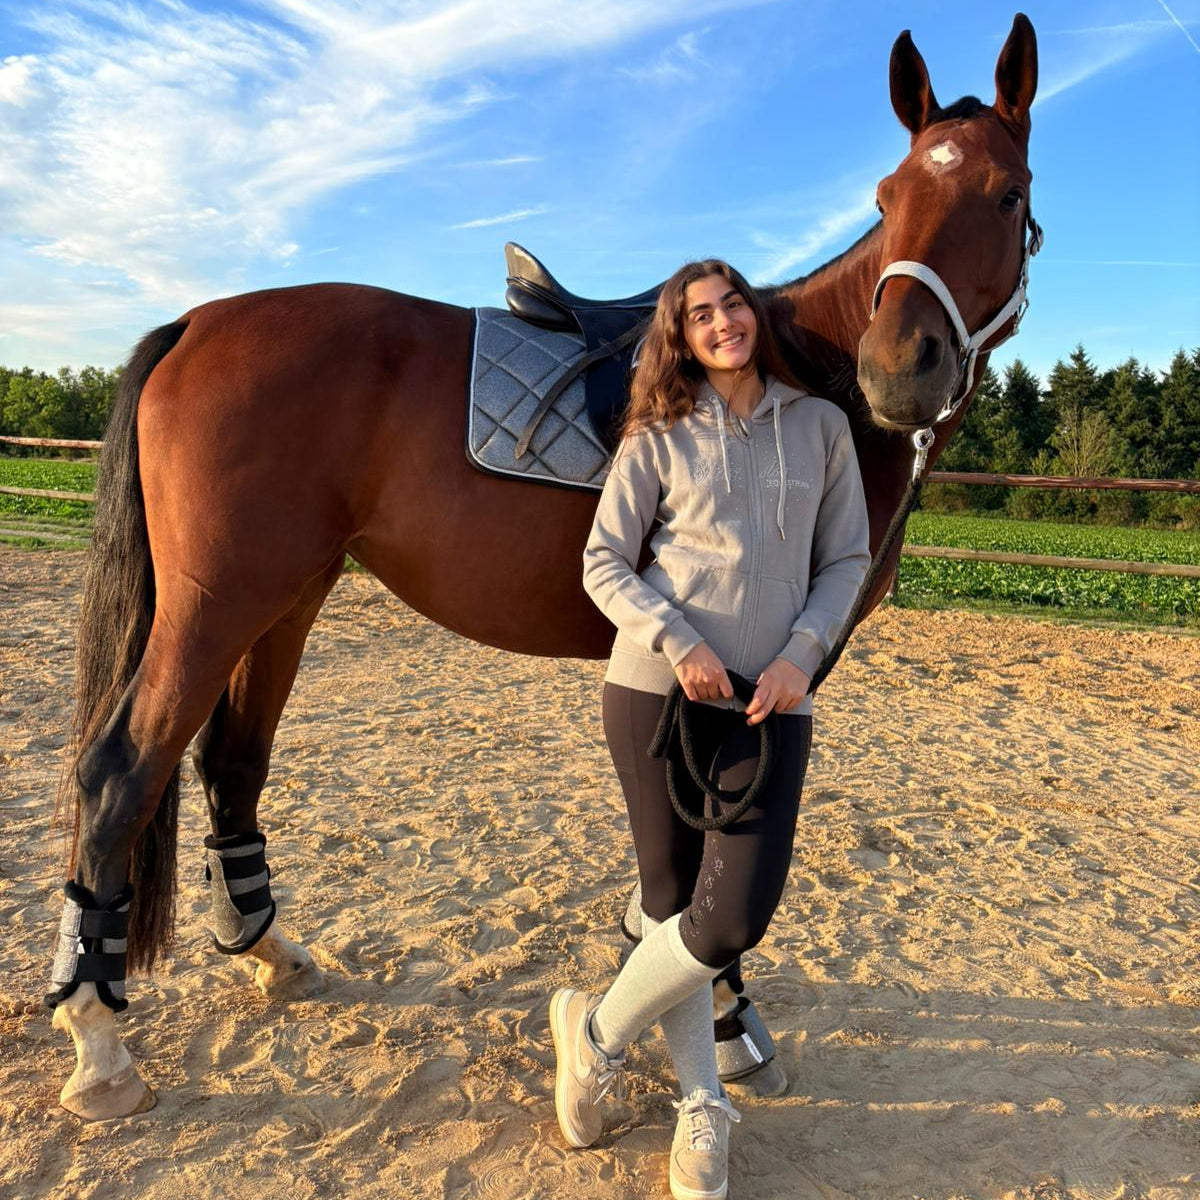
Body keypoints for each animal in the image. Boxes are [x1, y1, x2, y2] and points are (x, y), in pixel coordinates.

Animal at [43, 14, 1039, 1119]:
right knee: (121, 772)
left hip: (285, 598)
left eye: (1008, 193)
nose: (897, 370)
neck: (796, 370)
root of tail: (199, 323)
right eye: (887, 198)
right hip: (219, 605)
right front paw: (725, 1021)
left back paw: (269, 954)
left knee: (230, 762)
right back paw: (97, 1044)